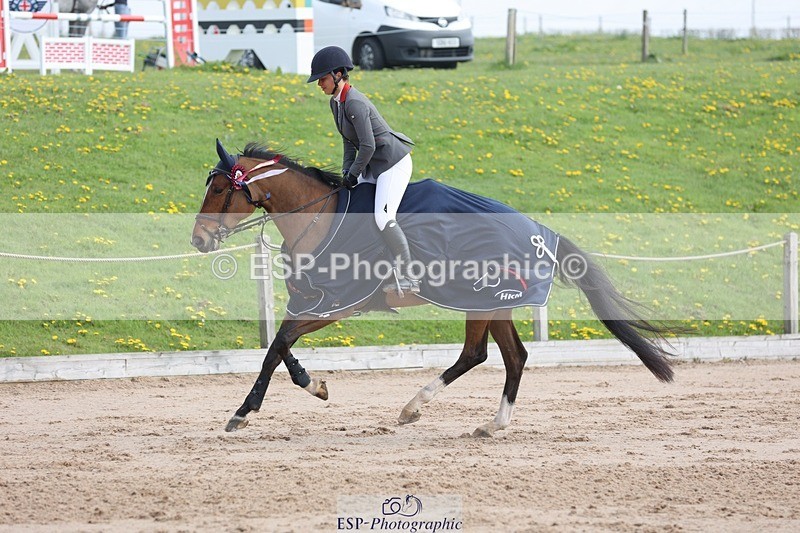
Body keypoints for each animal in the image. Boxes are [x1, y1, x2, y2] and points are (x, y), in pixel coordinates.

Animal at [191, 140, 675, 437]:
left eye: (218, 190)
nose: (198, 240)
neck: (319, 217)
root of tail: (543, 233)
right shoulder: (314, 300)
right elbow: (281, 344)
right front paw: (315, 385)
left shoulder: (338, 303)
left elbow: (277, 345)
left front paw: (243, 412)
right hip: (492, 305)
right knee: (507, 356)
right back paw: (484, 423)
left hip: (481, 300)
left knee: (483, 354)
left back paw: (422, 408)